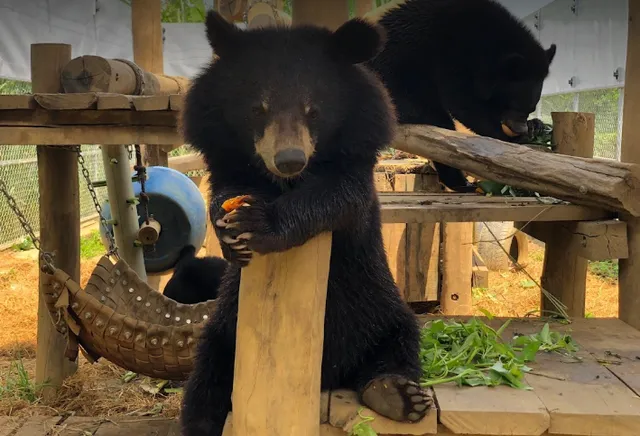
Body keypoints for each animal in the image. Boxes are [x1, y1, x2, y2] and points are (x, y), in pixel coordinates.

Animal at [178, 10, 432, 436]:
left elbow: (336, 196)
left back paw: (396, 395)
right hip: (223, 330)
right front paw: (231, 231)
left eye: (314, 110)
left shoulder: (355, 166)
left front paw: (260, 223)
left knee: (399, 346)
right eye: (259, 108)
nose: (290, 159)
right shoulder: (228, 156)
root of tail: (331, 376)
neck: (284, 182)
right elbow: (225, 189)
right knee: (204, 388)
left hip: (383, 309)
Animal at [365, 0, 557, 192]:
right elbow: (463, 102)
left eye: (530, 108)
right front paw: (514, 138)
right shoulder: (450, 54)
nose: (520, 128)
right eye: (515, 105)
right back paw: (460, 183)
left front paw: (535, 126)